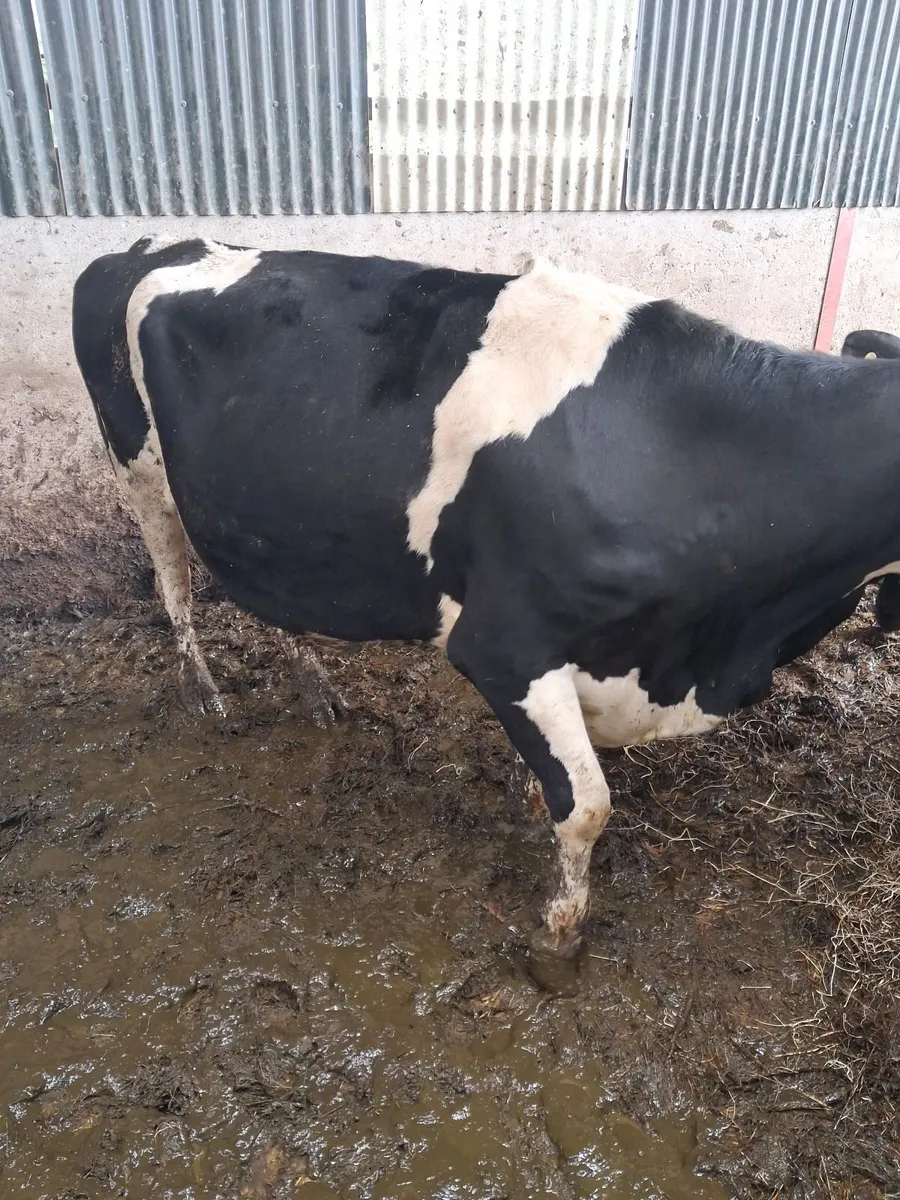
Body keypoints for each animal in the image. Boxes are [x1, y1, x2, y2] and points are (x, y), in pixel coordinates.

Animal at [71, 236, 900, 967]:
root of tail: (155, 248)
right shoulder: (504, 646)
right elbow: (588, 803)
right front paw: (559, 939)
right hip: (137, 465)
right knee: (173, 585)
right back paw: (205, 694)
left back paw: (315, 689)